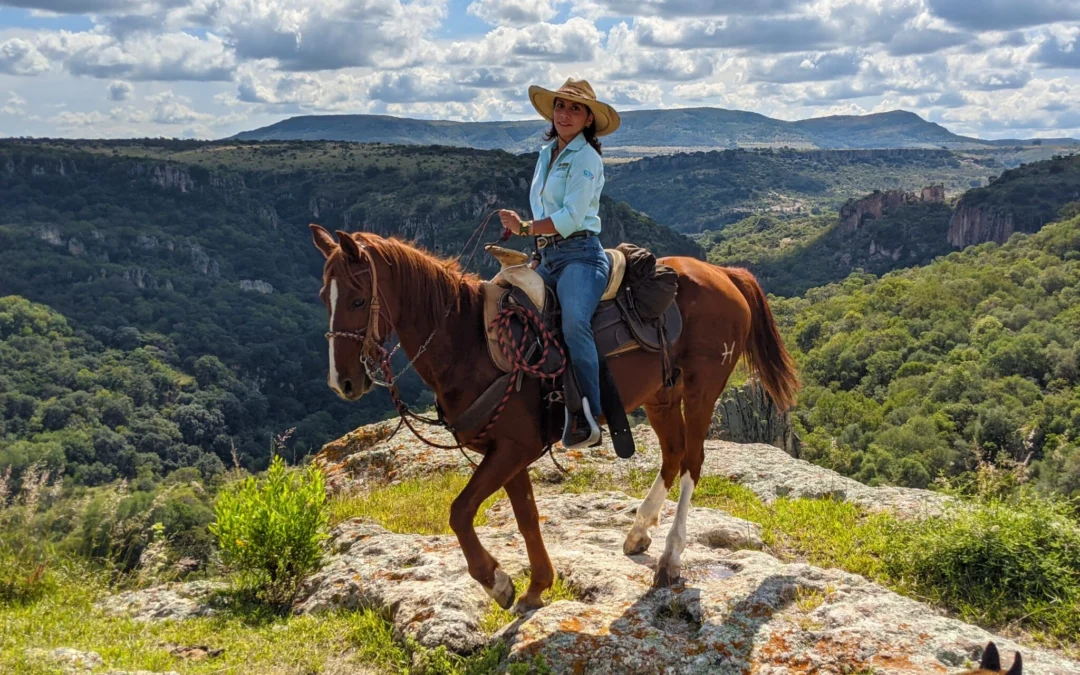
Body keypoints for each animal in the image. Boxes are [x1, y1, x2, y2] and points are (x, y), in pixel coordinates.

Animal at [308, 223, 799, 613]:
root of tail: (725, 274)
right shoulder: (506, 449)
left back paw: (670, 559)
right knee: (674, 456)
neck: (471, 342)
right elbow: (525, 516)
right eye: (322, 298)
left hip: (701, 391)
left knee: (693, 461)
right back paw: (638, 532)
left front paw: (497, 582)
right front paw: (535, 586)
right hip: (662, 395)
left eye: (357, 300)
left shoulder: (514, 448)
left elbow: (460, 511)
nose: (341, 382)